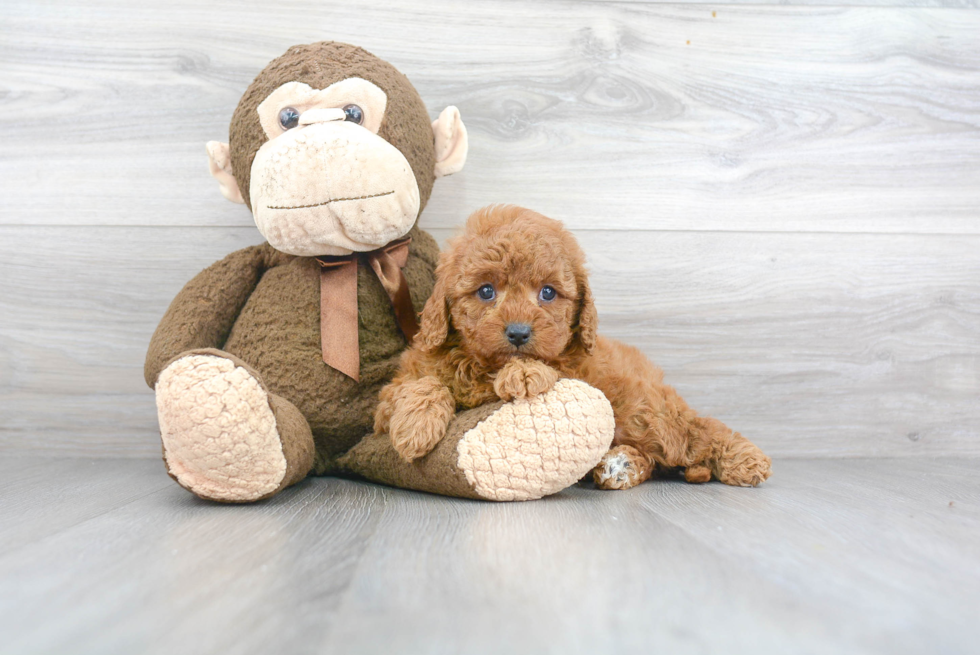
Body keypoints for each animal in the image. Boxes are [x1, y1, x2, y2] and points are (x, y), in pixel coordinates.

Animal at [376, 208, 772, 490]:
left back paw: (747, 460)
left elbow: (544, 369)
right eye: (486, 291)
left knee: (694, 430)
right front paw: (415, 427)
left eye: (548, 293)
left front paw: (523, 372)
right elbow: (419, 385)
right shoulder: (393, 393)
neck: (479, 363)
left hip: (644, 412)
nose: (518, 333)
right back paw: (621, 466)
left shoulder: (577, 369)